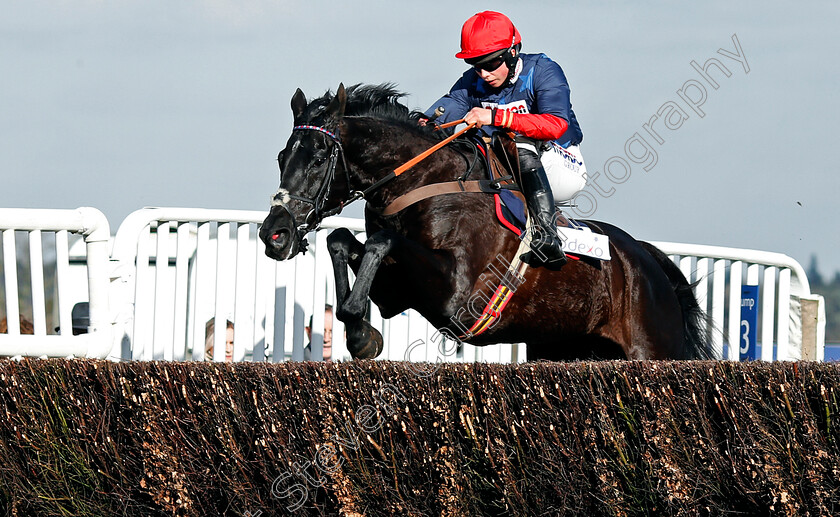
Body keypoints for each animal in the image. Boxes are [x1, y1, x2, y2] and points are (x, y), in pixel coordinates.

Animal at [260, 82, 712, 360]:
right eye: (282, 157)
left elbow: (380, 242)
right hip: (561, 348)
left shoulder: (458, 297)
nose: (274, 234)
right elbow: (341, 239)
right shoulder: (397, 292)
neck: (424, 181)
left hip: (653, 348)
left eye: (320, 158)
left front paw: (359, 333)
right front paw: (361, 333)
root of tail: (647, 259)